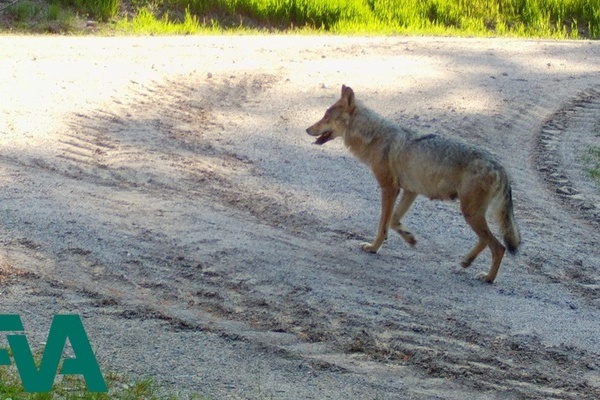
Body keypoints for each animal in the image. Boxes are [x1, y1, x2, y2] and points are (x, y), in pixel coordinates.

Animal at [308, 86, 516, 282]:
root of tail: (499, 165)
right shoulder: (409, 191)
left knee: (499, 247)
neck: (375, 136)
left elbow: (382, 225)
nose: (307, 129)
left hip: (470, 214)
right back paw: (467, 261)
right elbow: (393, 221)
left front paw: (374, 247)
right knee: (488, 241)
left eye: (326, 117)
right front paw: (409, 238)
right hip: (473, 214)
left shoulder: (389, 189)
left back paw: (488, 278)